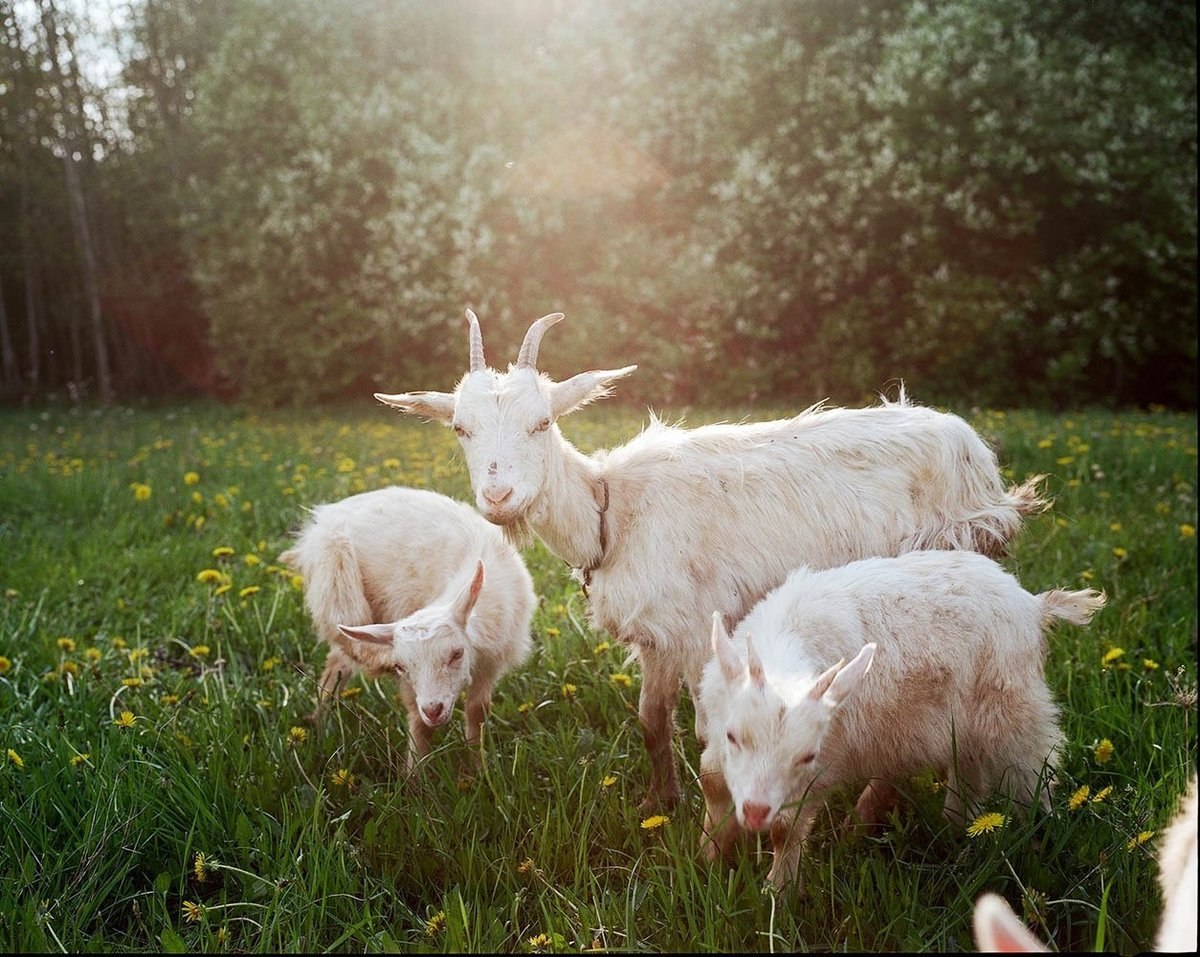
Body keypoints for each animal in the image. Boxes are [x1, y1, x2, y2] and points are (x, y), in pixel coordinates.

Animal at [372, 311, 1041, 810]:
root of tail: (975, 455)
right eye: (460, 429)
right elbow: (651, 722)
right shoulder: (656, 636)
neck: (610, 512)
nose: (498, 496)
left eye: (542, 422)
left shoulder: (698, 630)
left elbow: (705, 733)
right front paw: (658, 806)